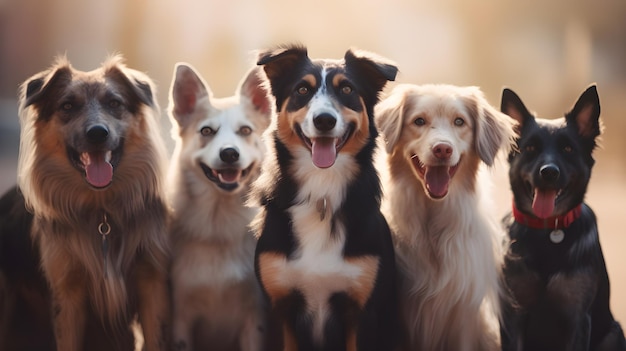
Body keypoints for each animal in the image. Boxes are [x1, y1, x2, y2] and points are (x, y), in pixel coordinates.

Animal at [167, 63, 272, 351]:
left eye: (245, 131)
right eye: (206, 131)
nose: (229, 154)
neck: (219, 220)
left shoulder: (255, 317)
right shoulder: (180, 318)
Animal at [498, 85, 624, 351]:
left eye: (568, 149)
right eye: (530, 148)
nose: (549, 173)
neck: (547, 230)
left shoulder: (577, 318)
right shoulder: (513, 316)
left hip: (613, 333)